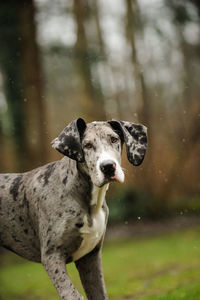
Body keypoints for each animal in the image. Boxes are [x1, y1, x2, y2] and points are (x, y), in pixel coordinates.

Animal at [0, 119, 147, 300]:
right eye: (87, 145)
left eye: (114, 139)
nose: (108, 167)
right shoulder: (52, 256)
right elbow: (71, 294)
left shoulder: (90, 258)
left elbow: (99, 294)